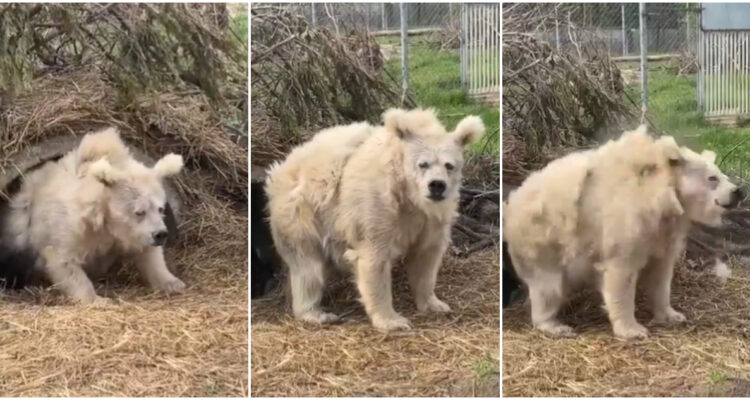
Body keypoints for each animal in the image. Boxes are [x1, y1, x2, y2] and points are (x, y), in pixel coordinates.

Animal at [0, 127, 186, 303]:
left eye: (160, 208)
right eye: (139, 211)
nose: (161, 234)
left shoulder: (129, 235)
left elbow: (149, 254)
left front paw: (173, 283)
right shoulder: (71, 227)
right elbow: (64, 260)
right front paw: (98, 299)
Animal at [265, 108, 485, 331]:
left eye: (449, 165)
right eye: (423, 164)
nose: (437, 185)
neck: (408, 196)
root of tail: (282, 166)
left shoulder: (430, 219)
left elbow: (426, 257)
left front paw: (435, 305)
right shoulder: (377, 207)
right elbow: (374, 259)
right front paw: (393, 321)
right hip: (303, 213)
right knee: (308, 266)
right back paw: (316, 313)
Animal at [503, 126, 745, 339]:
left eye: (722, 174)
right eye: (712, 178)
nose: (739, 191)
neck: (659, 196)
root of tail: (513, 200)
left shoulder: (662, 233)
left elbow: (661, 274)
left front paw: (672, 315)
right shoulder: (628, 225)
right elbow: (621, 274)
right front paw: (633, 330)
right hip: (543, 239)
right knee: (548, 285)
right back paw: (555, 326)